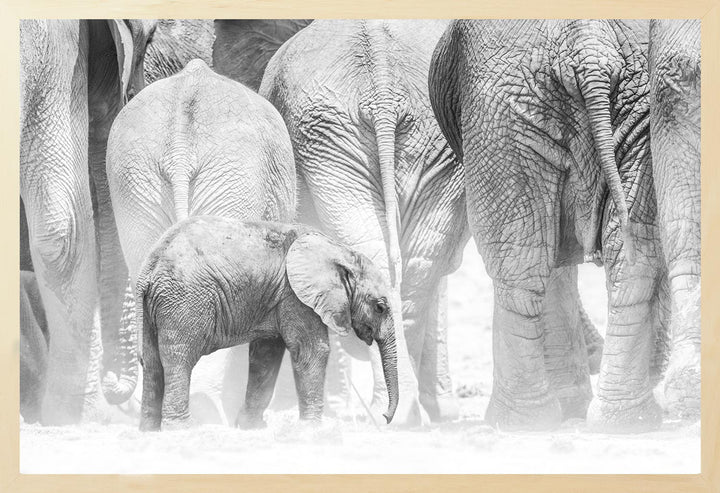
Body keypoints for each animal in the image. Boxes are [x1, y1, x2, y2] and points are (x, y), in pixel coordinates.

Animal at [137, 217, 399, 431]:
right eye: (380, 307)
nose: (385, 418)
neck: (340, 250)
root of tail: (150, 269)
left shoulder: (278, 297)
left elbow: (266, 354)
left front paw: (250, 427)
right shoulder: (295, 295)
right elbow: (313, 350)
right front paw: (313, 431)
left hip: (154, 308)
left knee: (152, 363)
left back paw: (149, 432)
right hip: (184, 300)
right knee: (179, 359)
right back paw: (182, 430)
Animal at [430, 20, 665, 433]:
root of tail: (590, 46)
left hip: (501, 112)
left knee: (519, 263)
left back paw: (517, 421)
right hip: (620, 107)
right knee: (628, 260)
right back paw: (626, 422)